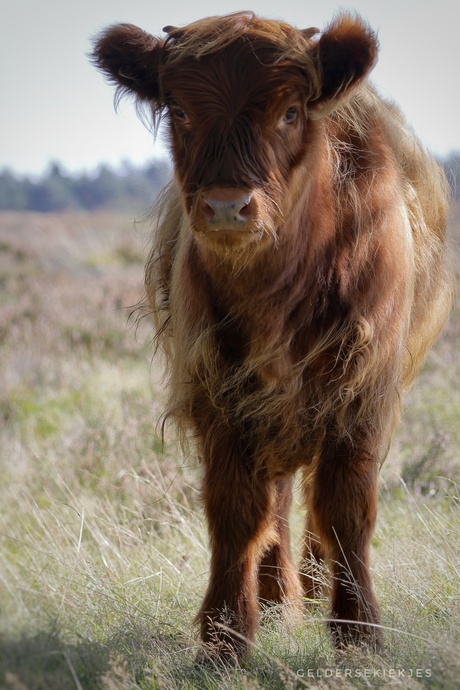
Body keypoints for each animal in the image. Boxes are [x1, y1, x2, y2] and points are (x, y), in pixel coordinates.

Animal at [92, 9, 452, 656]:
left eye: (288, 112)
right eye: (180, 111)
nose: (227, 206)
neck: (278, 289)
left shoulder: (363, 389)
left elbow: (347, 507)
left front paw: (358, 632)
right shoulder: (220, 389)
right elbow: (236, 510)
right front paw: (225, 635)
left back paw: (310, 585)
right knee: (277, 496)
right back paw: (278, 597)